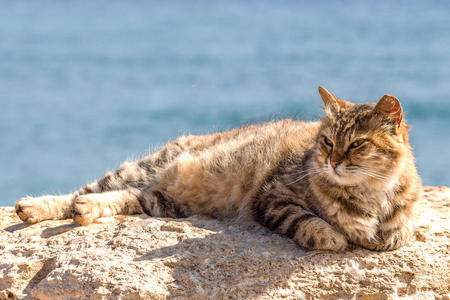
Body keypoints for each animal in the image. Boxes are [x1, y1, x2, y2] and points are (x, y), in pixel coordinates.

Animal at [14, 86, 422, 251]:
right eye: (326, 141)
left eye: (356, 145)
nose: (331, 161)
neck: (369, 193)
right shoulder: (272, 196)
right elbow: (312, 223)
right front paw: (333, 236)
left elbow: (399, 231)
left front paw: (386, 233)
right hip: (143, 168)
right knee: (80, 192)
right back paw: (34, 207)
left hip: (161, 201)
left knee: (120, 198)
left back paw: (84, 211)